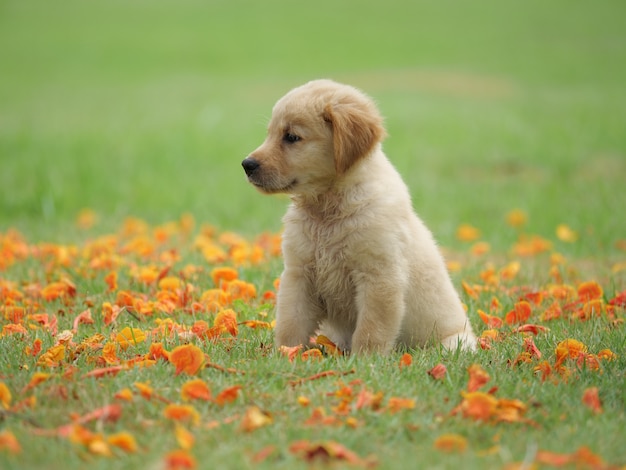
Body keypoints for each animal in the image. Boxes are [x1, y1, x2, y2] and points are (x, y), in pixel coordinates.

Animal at [240, 80, 472, 352]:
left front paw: (364, 359)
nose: (247, 165)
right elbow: (291, 322)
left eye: (292, 137)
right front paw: (286, 352)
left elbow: (371, 330)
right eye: (271, 133)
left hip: (455, 342)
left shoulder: (379, 278)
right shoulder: (298, 274)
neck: (328, 209)